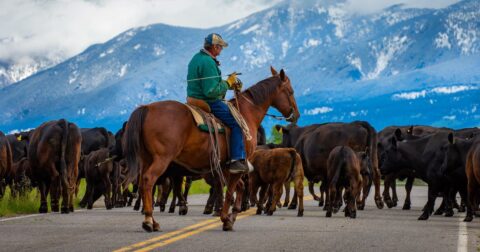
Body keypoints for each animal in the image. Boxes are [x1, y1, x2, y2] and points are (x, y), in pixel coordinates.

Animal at [124, 67, 298, 232]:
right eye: (290, 91)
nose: (296, 114)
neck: (246, 114)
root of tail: (147, 108)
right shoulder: (237, 164)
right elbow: (230, 191)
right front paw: (226, 219)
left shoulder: (224, 166)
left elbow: (238, 187)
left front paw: (232, 215)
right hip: (162, 158)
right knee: (148, 180)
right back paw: (148, 221)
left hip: (146, 159)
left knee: (143, 184)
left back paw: (154, 222)